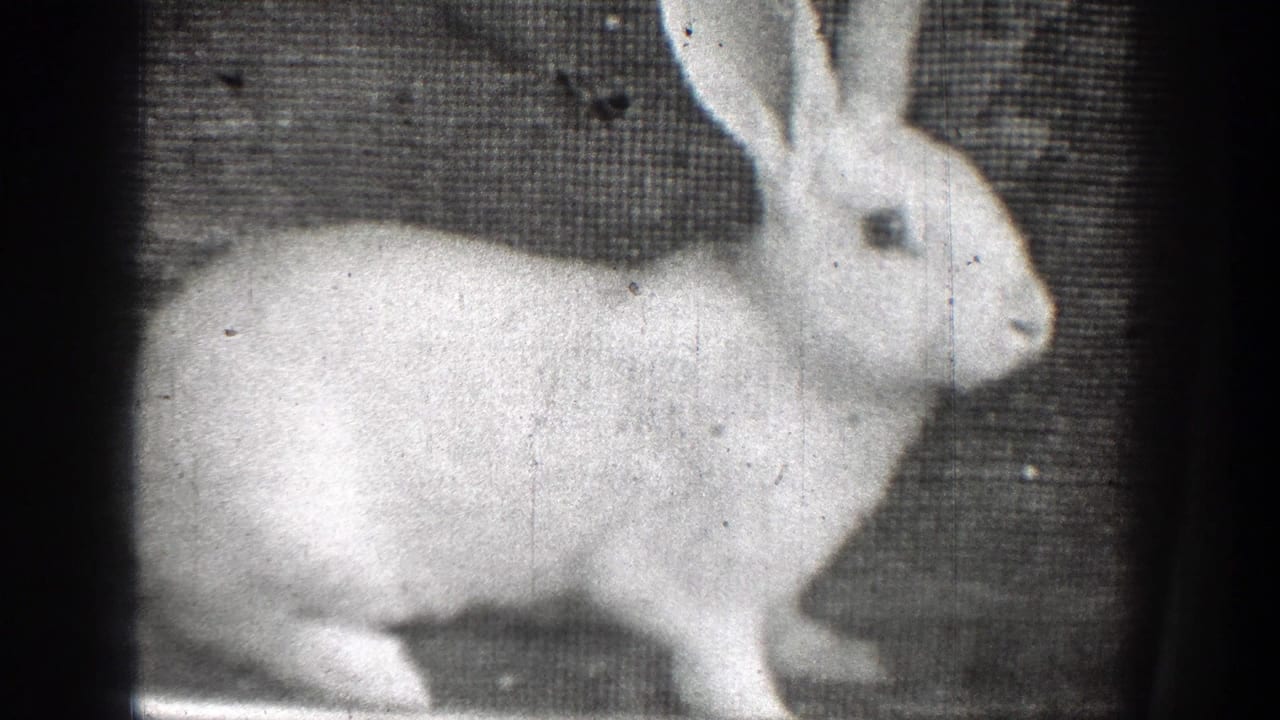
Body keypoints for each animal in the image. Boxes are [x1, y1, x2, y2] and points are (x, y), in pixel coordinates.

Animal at [134, 0, 1055, 717]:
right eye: (885, 230)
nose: (1033, 320)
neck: (794, 335)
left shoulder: (775, 581)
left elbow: (785, 626)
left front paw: (849, 659)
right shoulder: (691, 576)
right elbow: (719, 661)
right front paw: (768, 707)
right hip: (306, 540)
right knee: (226, 618)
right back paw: (380, 676)